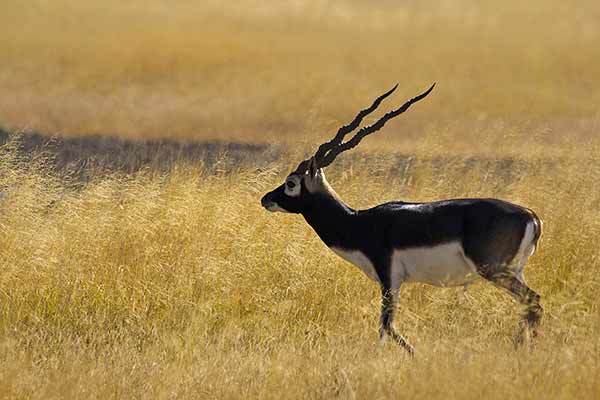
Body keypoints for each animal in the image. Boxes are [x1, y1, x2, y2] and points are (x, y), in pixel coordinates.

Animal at [260, 83, 540, 354]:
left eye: (291, 183)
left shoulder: (389, 277)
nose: (266, 199)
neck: (358, 223)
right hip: (514, 270)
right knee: (529, 306)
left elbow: (386, 326)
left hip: (492, 269)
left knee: (533, 301)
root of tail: (531, 216)